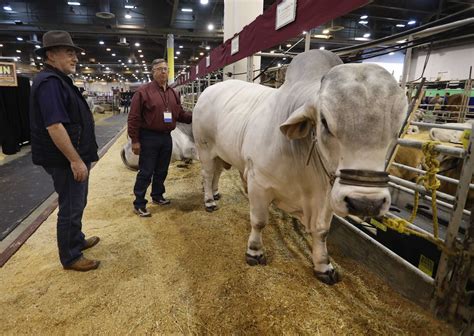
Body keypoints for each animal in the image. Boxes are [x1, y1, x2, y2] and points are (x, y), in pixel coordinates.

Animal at [193, 50, 408, 284]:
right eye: (325, 122)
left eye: (398, 129)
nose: (365, 203)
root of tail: (208, 91)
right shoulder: (259, 184)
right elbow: (259, 221)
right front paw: (254, 252)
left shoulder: (326, 194)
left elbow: (322, 231)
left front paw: (323, 266)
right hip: (205, 148)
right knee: (207, 175)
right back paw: (209, 201)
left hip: (219, 154)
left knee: (216, 174)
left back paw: (215, 193)